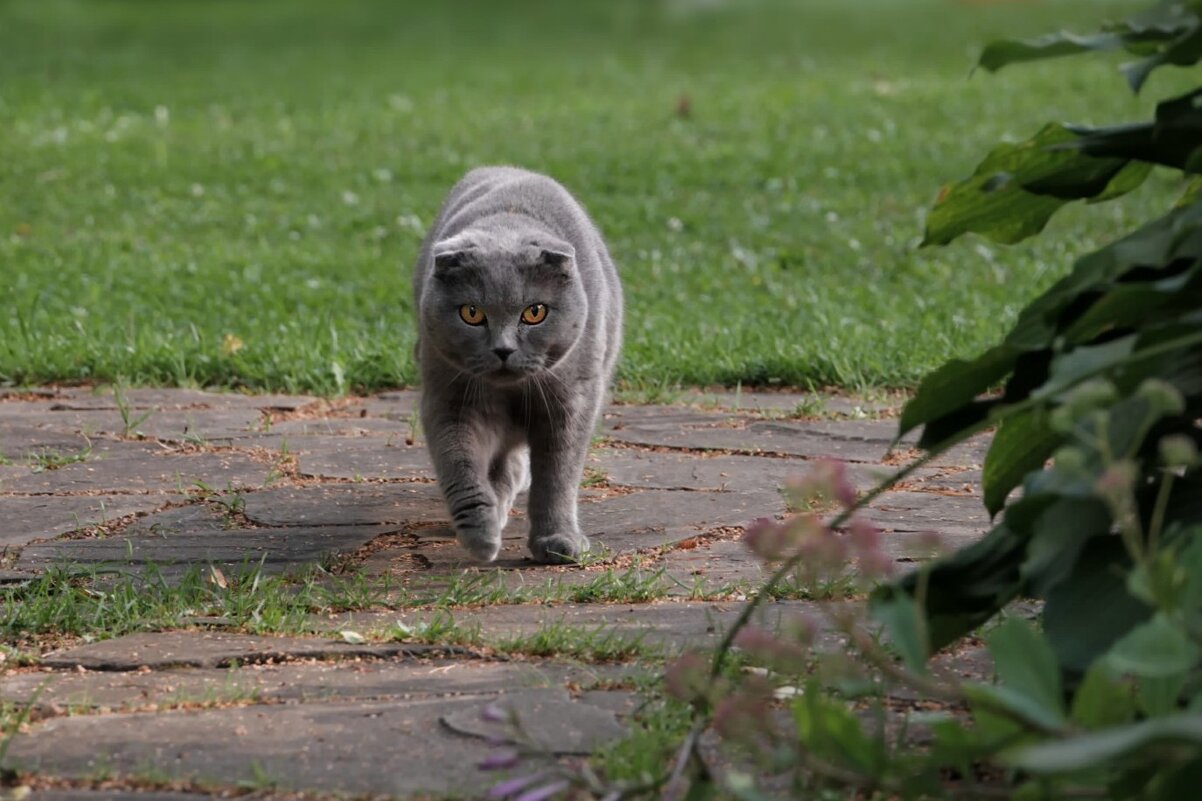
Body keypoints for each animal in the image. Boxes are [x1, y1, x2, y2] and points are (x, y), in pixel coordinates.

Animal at [413, 164, 625, 558]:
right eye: (471, 313)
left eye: (535, 312)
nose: (503, 349)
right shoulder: (449, 395)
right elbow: (460, 462)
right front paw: (480, 535)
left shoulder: (572, 401)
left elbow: (558, 474)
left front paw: (558, 541)